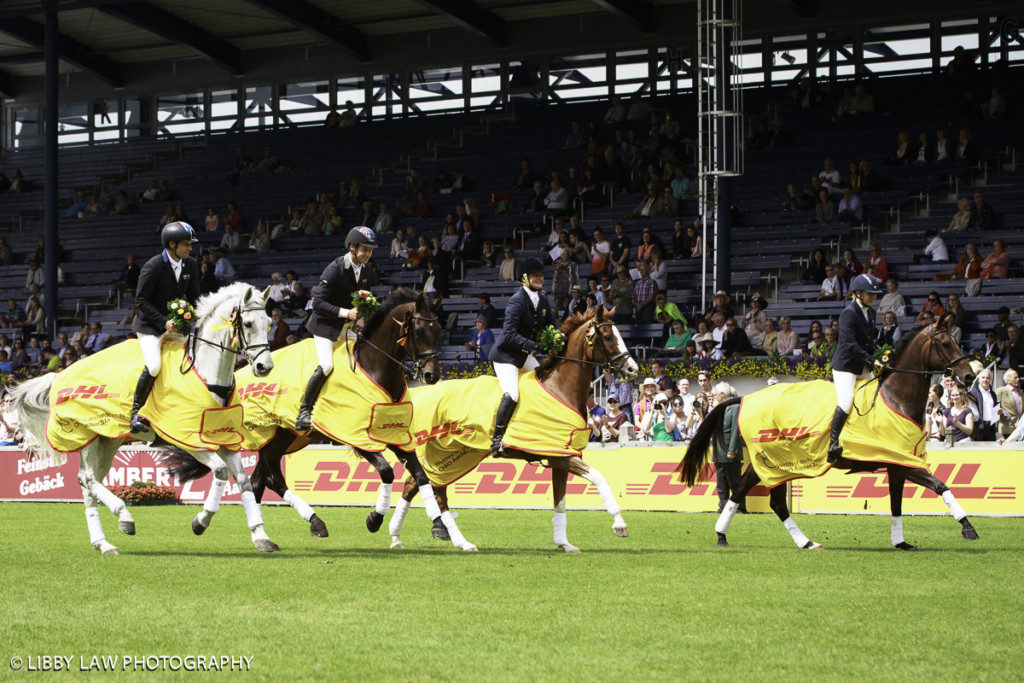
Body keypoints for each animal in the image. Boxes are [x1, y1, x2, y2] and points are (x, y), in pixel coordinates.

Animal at [12, 282, 276, 557]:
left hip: (109, 440)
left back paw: (103, 542)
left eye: (269, 323)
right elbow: (221, 472)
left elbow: (244, 482)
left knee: (91, 482)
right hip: (87, 435)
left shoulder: (225, 439)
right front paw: (200, 522)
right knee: (86, 479)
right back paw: (124, 517)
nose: (264, 367)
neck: (207, 375)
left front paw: (261, 536)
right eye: (248, 324)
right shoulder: (187, 440)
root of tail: (60, 374)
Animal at [167, 286, 444, 540]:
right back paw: (307, 522)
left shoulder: (396, 436)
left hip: (283, 437)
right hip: (269, 435)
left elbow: (421, 476)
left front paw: (439, 523)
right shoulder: (354, 437)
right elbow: (387, 471)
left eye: (440, 329)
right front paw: (374, 518)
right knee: (271, 478)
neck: (375, 370)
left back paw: (288, 527)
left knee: (261, 479)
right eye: (420, 330)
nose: (431, 375)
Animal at [385, 307, 634, 552]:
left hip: (454, 457)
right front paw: (619, 524)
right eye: (608, 337)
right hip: (439, 455)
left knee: (417, 485)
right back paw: (451, 540)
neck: (560, 390)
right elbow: (599, 478)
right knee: (429, 490)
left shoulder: (560, 457)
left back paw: (401, 537)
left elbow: (560, 502)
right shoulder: (561, 457)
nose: (632, 369)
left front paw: (564, 543)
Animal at [675, 315, 978, 548]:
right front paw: (968, 527)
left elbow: (897, 504)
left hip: (776, 464)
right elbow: (940, 485)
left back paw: (797, 542)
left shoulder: (897, 464)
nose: (969, 376)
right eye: (945, 343)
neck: (896, 399)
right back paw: (727, 536)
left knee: (762, 498)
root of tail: (747, 396)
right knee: (755, 496)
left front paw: (901, 543)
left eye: (956, 340)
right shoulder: (903, 463)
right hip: (773, 462)